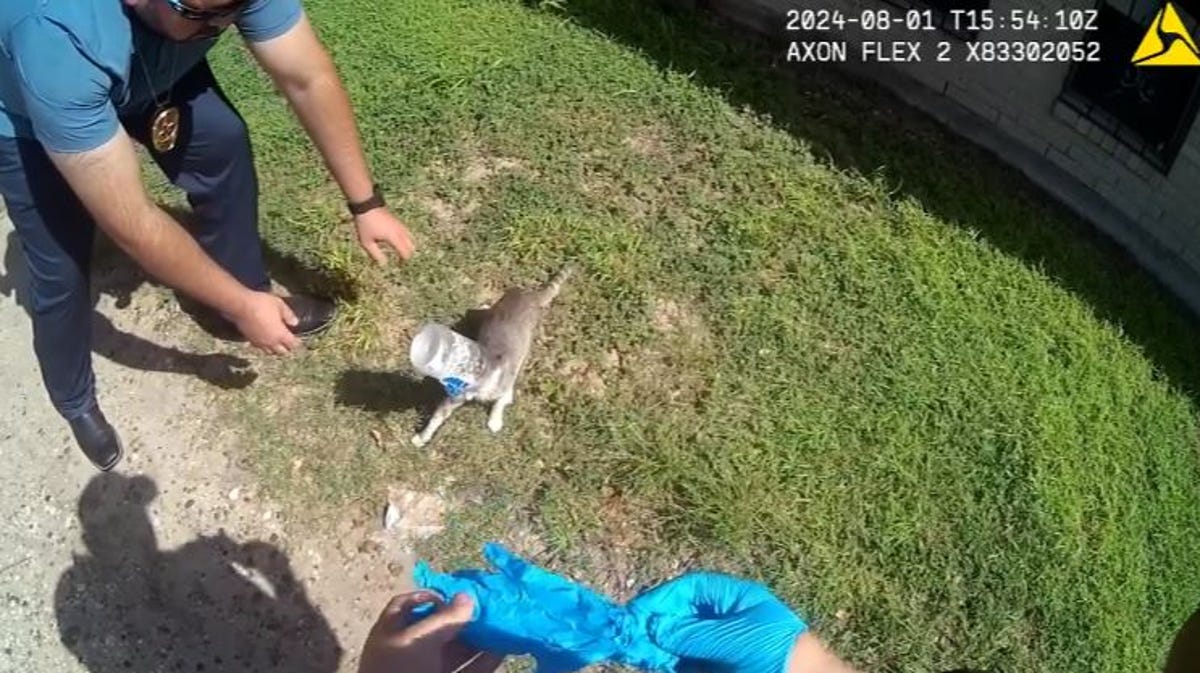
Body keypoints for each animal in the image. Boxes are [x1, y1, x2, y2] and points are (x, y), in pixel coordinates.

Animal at [410, 263, 573, 446]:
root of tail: (528, 294)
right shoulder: (456, 397)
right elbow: (438, 417)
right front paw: (422, 437)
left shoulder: (502, 384)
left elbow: (502, 400)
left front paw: (495, 420)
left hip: (527, 341)